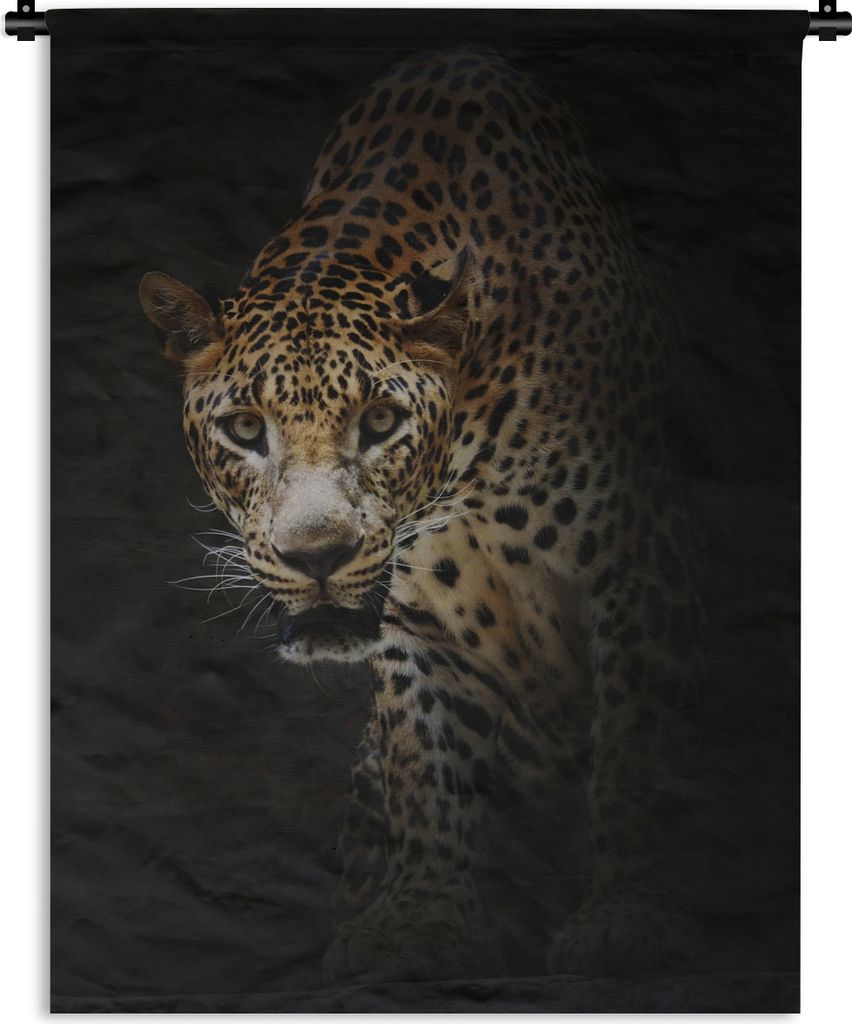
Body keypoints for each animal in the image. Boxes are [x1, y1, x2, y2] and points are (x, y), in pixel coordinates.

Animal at [140, 47, 703, 984]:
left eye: (380, 422)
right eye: (246, 430)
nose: (317, 556)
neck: (462, 468)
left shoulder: (639, 559)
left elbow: (637, 743)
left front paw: (627, 917)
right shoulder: (414, 617)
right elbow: (423, 762)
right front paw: (419, 922)